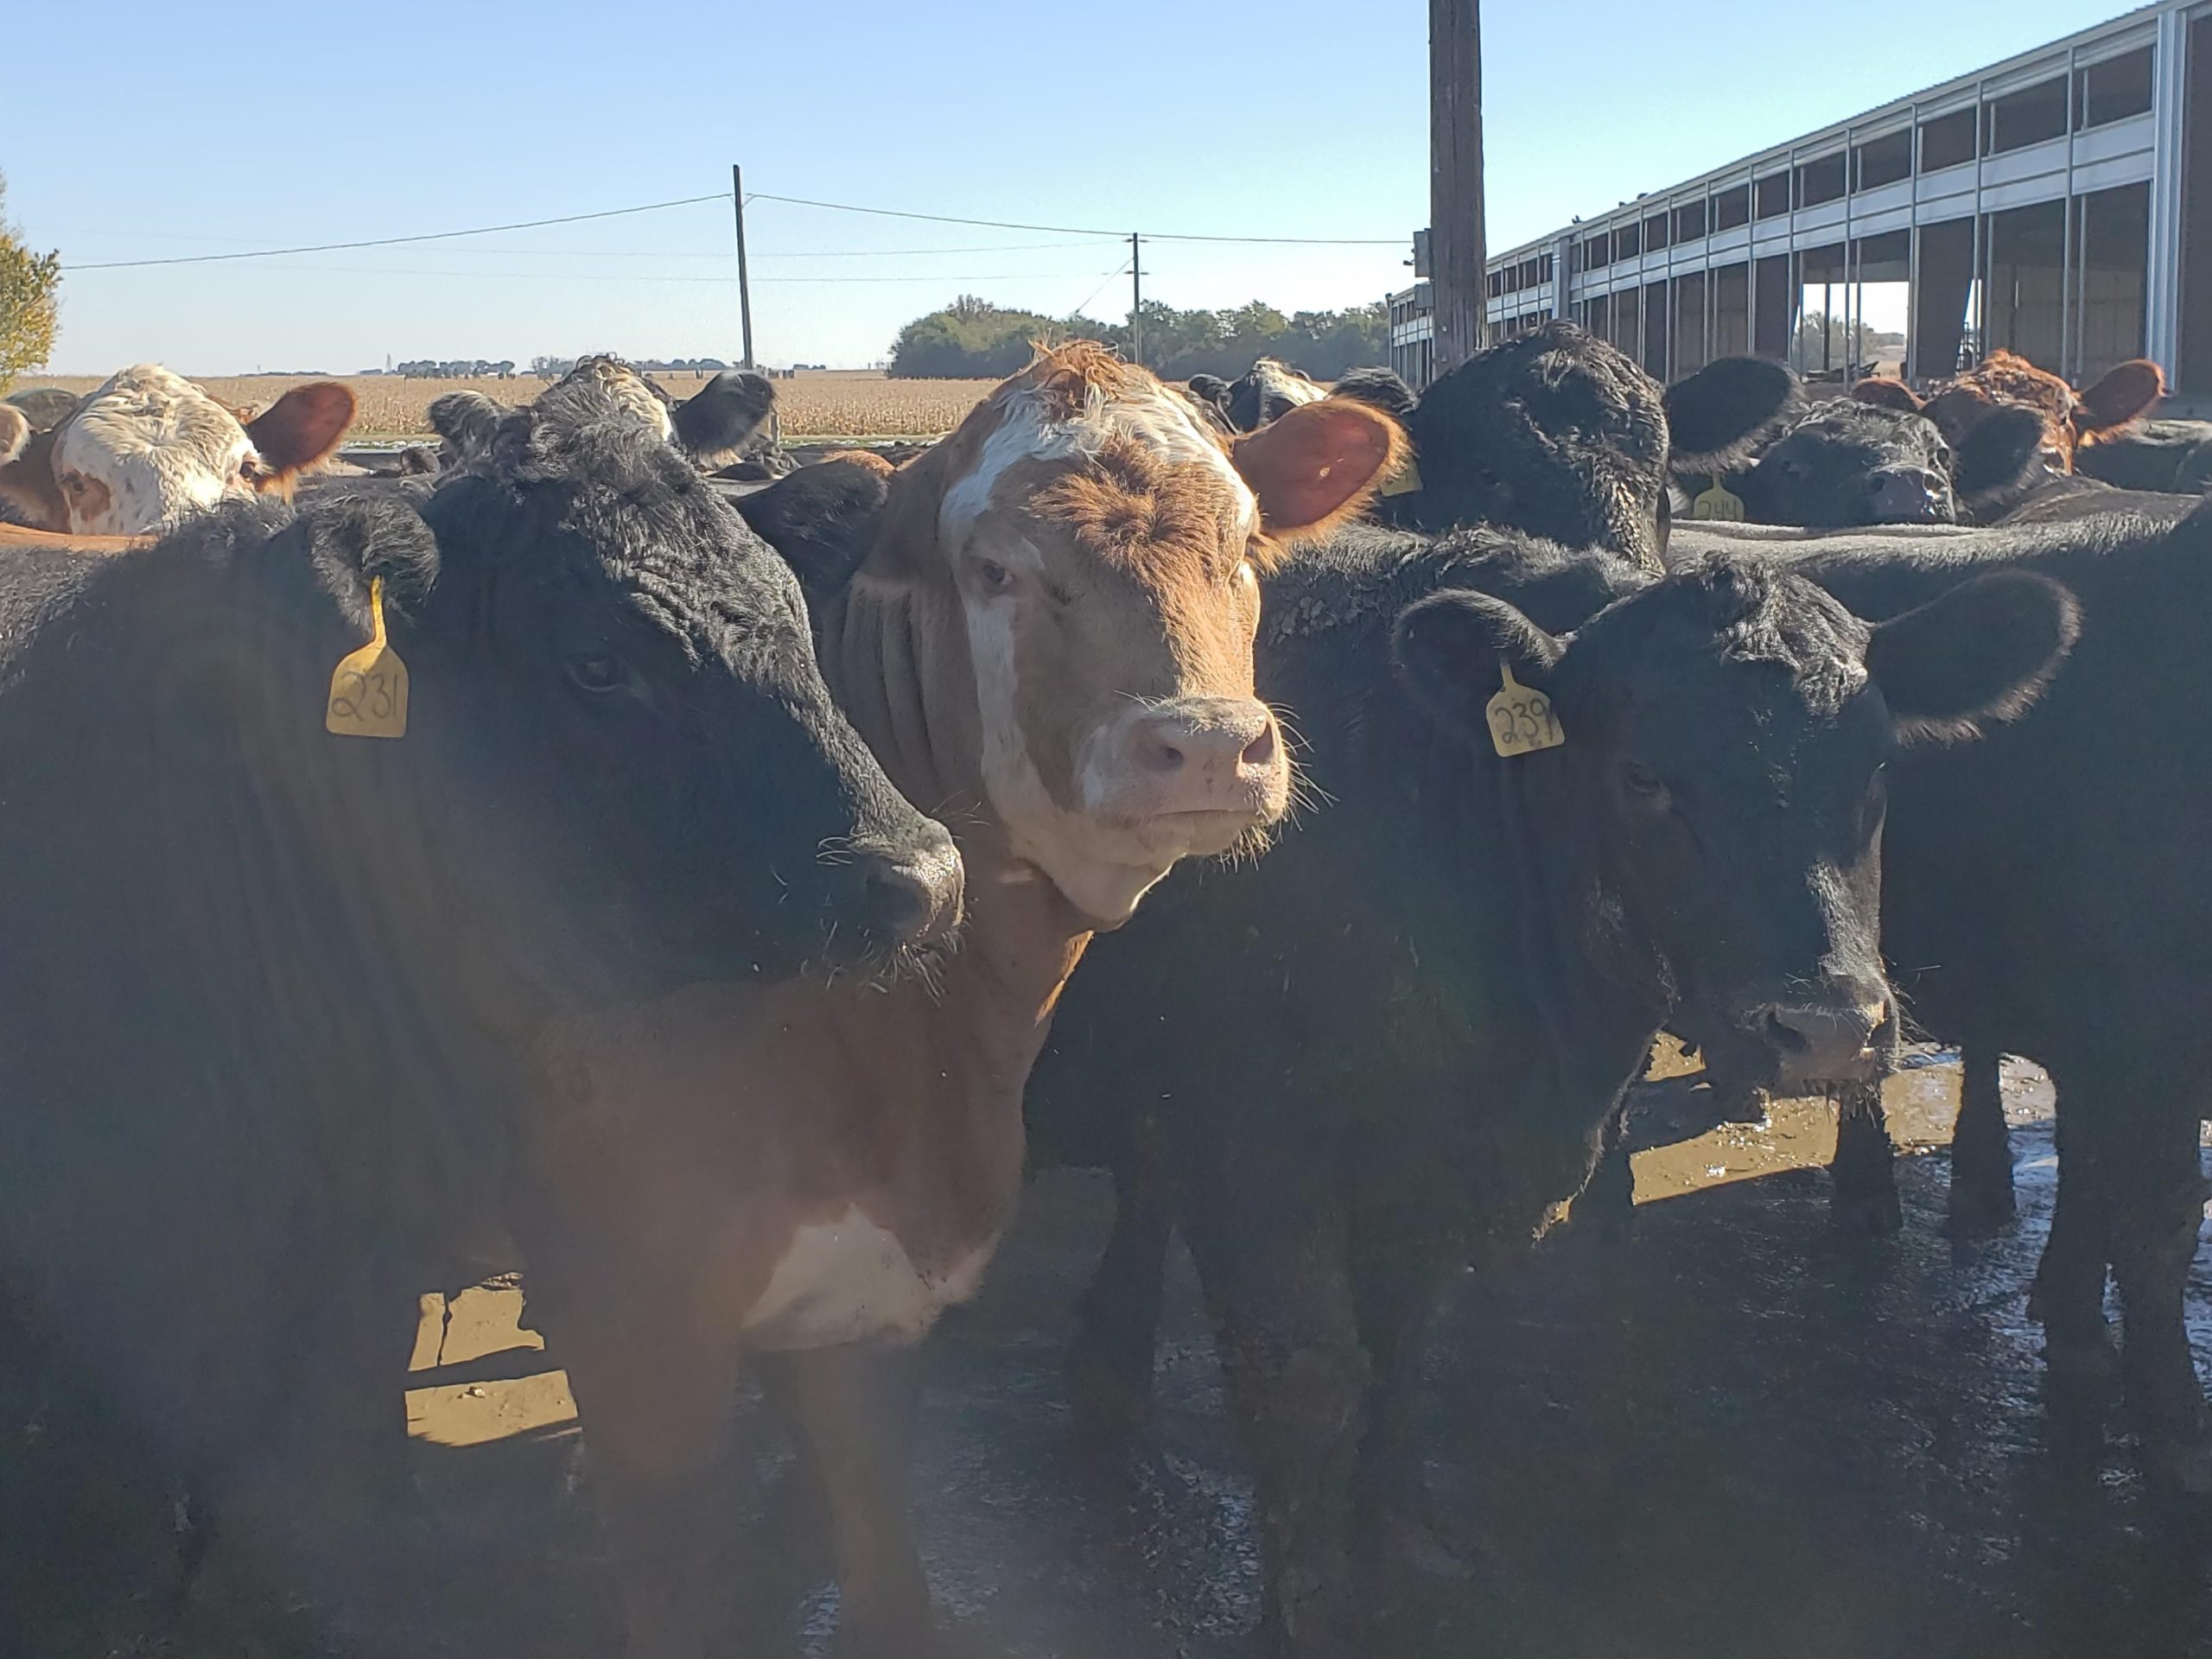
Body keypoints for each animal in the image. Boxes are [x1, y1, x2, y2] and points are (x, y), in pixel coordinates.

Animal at [513, 341, 1406, 1657]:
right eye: (995, 571)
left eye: (1244, 543)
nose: (1205, 745)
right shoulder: (637, 1329)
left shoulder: (873, 1278)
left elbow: (886, 1566)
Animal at [1025, 521, 2077, 1654]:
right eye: (1640, 774)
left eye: (1877, 765)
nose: (1829, 1026)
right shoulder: (1251, 1144)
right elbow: (1306, 1373)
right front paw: (1307, 1612)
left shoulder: (1427, 1162)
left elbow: (1401, 1339)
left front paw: (1400, 1538)